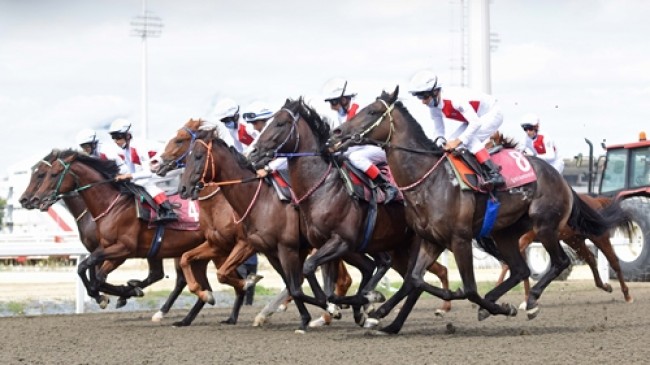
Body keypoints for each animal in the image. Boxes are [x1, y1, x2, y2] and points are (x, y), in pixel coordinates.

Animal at [248, 98, 450, 314]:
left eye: (280, 123)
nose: (253, 152)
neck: (323, 187)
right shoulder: (322, 243)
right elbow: (321, 288)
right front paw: (342, 303)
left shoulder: (341, 242)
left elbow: (309, 269)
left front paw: (359, 300)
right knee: (402, 275)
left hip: (413, 243)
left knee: (411, 280)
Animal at [330, 86, 628, 332]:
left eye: (372, 111)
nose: (337, 134)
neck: (429, 180)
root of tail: (561, 180)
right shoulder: (431, 240)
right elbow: (414, 279)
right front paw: (377, 310)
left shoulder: (460, 240)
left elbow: (470, 289)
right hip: (505, 233)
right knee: (520, 269)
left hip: (545, 225)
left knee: (561, 261)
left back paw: (531, 302)